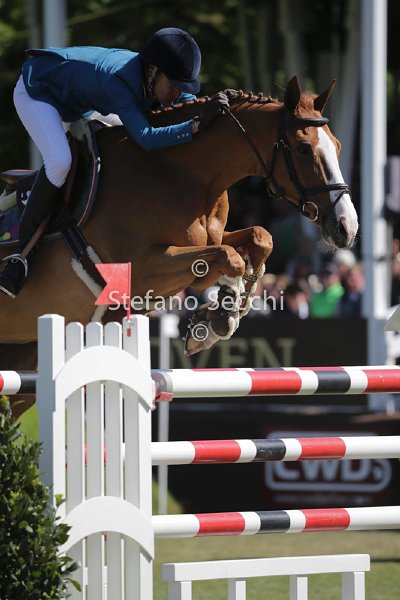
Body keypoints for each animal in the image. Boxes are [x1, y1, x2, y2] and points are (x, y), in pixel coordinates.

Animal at [0, 76, 358, 417]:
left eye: (338, 146)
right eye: (302, 148)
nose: (347, 226)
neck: (180, 174)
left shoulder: (209, 242)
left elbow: (258, 238)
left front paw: (220, 313)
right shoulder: (143, 271)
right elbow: (230, 257)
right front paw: (217, 321)